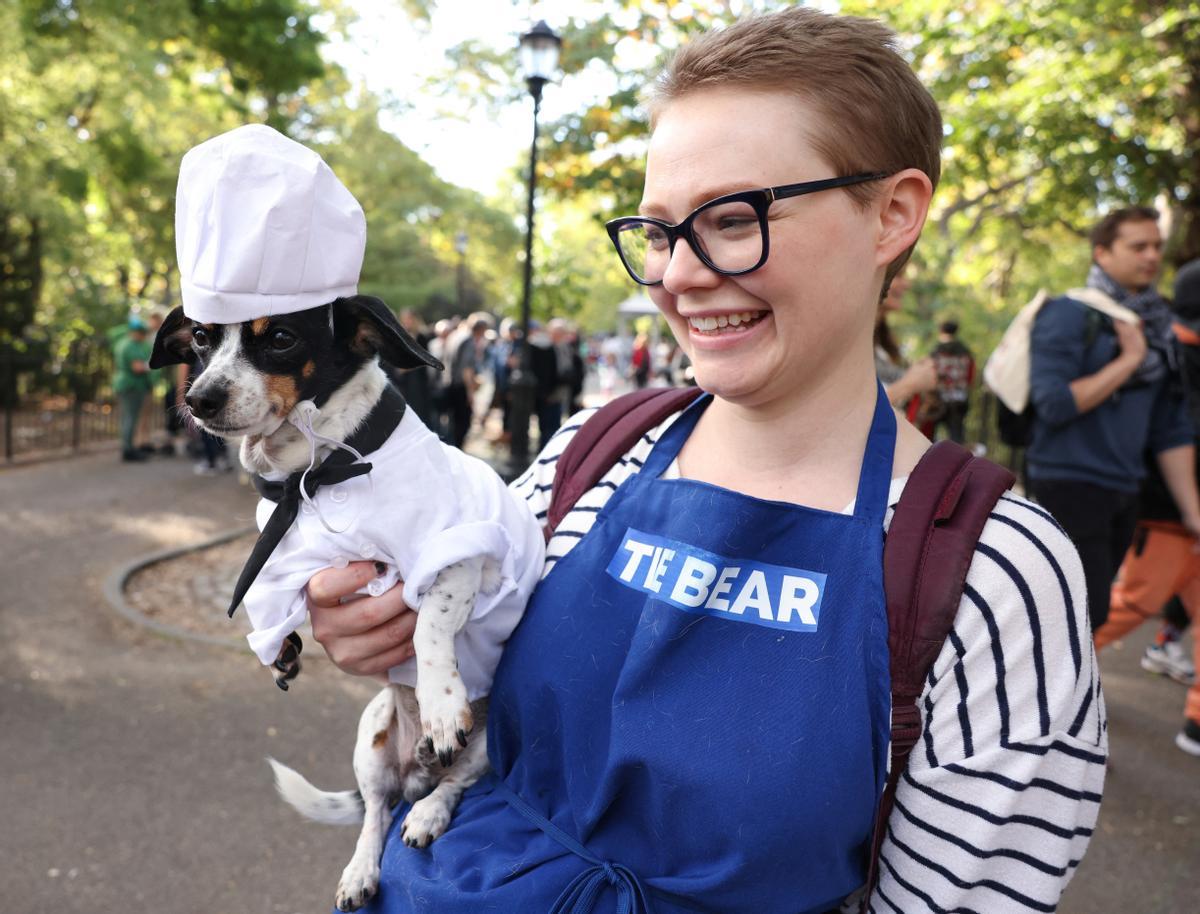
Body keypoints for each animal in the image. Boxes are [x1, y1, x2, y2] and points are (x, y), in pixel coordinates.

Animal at [152, 295, 542, 906]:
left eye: (281, 338)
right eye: (199, 338)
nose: (198, 400)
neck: (321, 472)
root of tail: (415, 772)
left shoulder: (461, 554)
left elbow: (429, 627)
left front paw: (439, 703)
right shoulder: (288, 558)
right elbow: (276, 607)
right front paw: (282, 651)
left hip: (485, 748)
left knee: (453, 784)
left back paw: (428, 810)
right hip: (372, 734)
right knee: (376, 814)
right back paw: (362, 867)